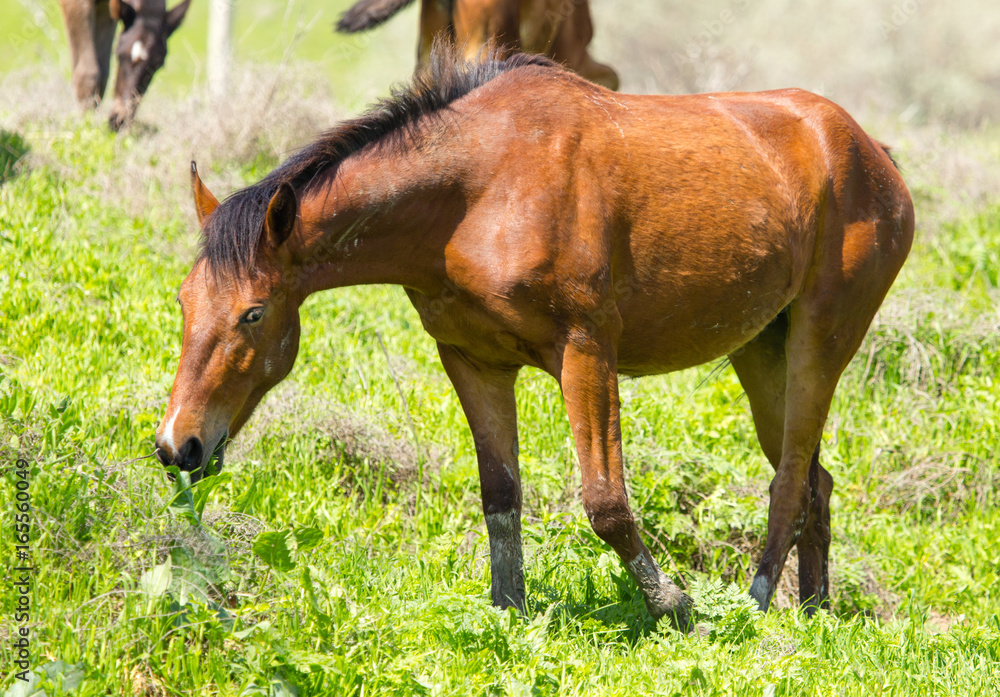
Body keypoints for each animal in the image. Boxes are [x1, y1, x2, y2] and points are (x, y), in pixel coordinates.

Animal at [57, 0, 191, 130]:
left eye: (158, 65)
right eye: (119, 54)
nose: (120, 119)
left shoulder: (106, 10)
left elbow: (103, 75)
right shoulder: (75, 3)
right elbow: (88, 72)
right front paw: (83, 126)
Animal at [154, 48, 914, 626]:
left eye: (253, 314)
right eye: (185, 301)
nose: (176, 445)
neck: (480, 190)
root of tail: (871, 152)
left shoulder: (586, 351)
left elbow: (606, 502)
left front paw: (672, 605)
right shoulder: (475, 361)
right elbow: (500, 494)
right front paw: (508, 614)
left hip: (820, 341)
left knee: (789, 481)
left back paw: (754, 608)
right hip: (759, 351)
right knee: (814, 479)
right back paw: (813, 609)